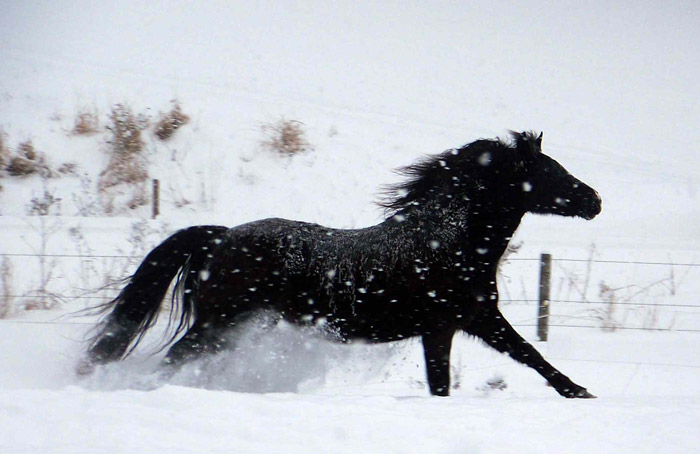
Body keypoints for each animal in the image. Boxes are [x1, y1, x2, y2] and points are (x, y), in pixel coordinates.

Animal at [82, 131, 600, 398]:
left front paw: (578, 392)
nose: (594, 200)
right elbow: (506, 362)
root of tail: (222, 237)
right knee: (173, 359)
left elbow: (522, 358)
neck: (448, 243)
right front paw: (580, 392)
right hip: (219, 323)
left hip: (232, 325)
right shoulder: (453, 325)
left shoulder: (469, 322)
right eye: (550, 172)